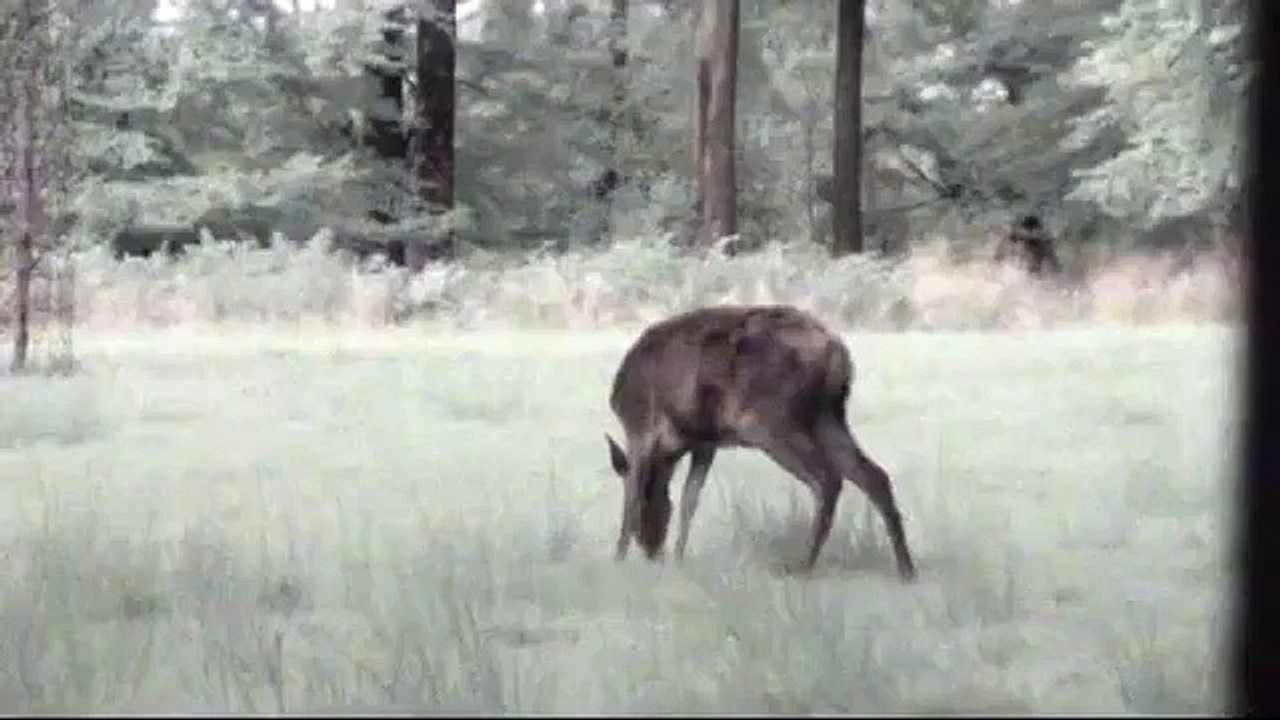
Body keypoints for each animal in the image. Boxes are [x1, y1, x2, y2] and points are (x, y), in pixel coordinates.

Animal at [604, 304, 917, 581]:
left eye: (650, 514)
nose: (652, 551)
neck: (670, 452)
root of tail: (837, 354)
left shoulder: (640, 428)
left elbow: (631, 495)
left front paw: (618, 558)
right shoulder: (705, 442)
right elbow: (689, 499)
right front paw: (679, 559)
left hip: (768, 420)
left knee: (827, 477)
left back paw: (803, 566)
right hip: (828, 415)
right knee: (873, 476)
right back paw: (906, 569)